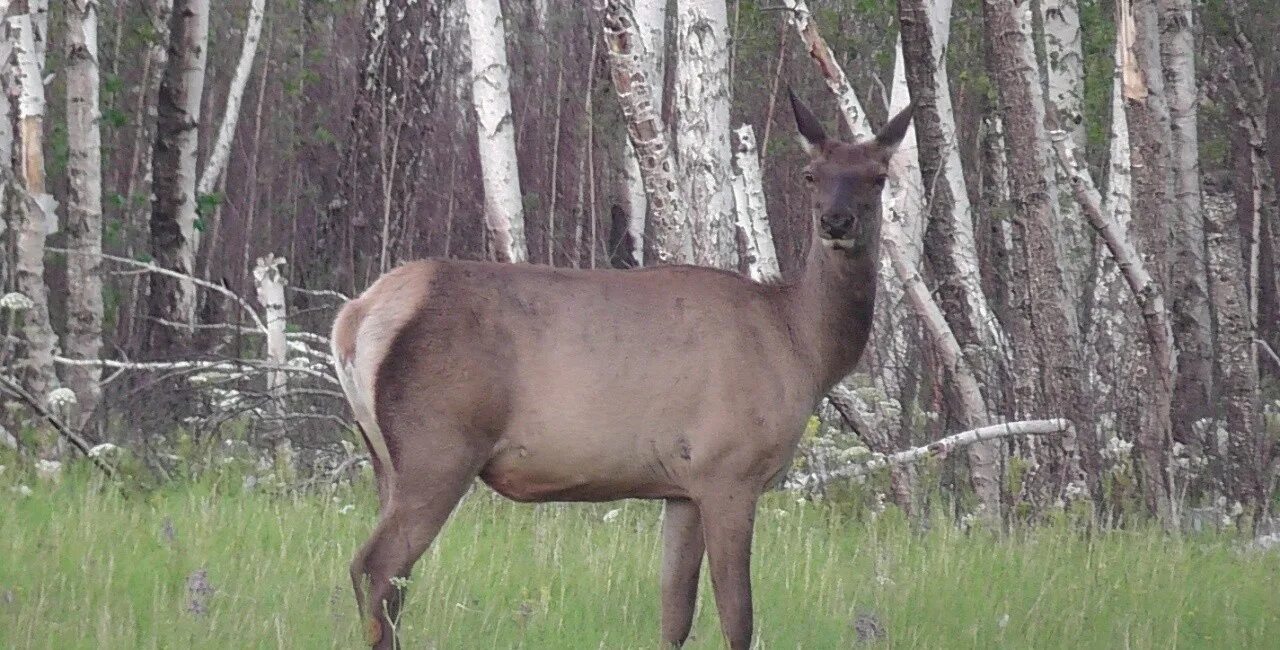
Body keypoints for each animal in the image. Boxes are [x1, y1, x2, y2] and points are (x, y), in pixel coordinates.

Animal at [330, 92, 911, 650]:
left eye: (878, 176)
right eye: (812, 174)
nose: (836, 222)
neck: (803, 347)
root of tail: (356, 317)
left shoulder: (682, 487)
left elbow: (675, 617)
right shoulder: (729, 469)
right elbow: (738, 619)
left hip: (385, 459)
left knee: (388, 578)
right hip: (439, 446)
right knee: (376, 568)